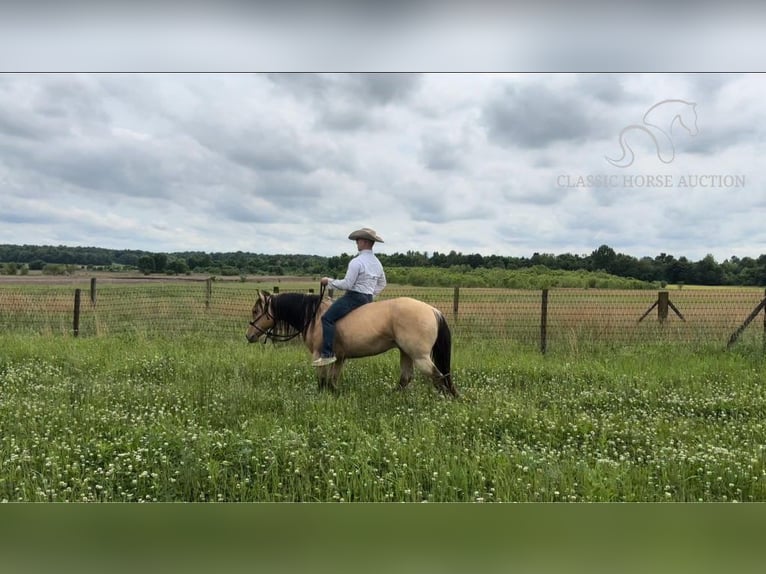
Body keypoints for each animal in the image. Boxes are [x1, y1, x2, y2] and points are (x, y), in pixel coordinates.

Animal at [244, 290, 456, 398]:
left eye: (255, 311)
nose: (249, 336)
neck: (314, 316)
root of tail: (432, 310)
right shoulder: (340, 358)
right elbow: (333, 380)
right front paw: (335, 394)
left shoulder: (319, 355)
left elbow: (322, 379)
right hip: (406, 353)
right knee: (406, 378)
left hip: (420, 356)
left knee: (439, 377)